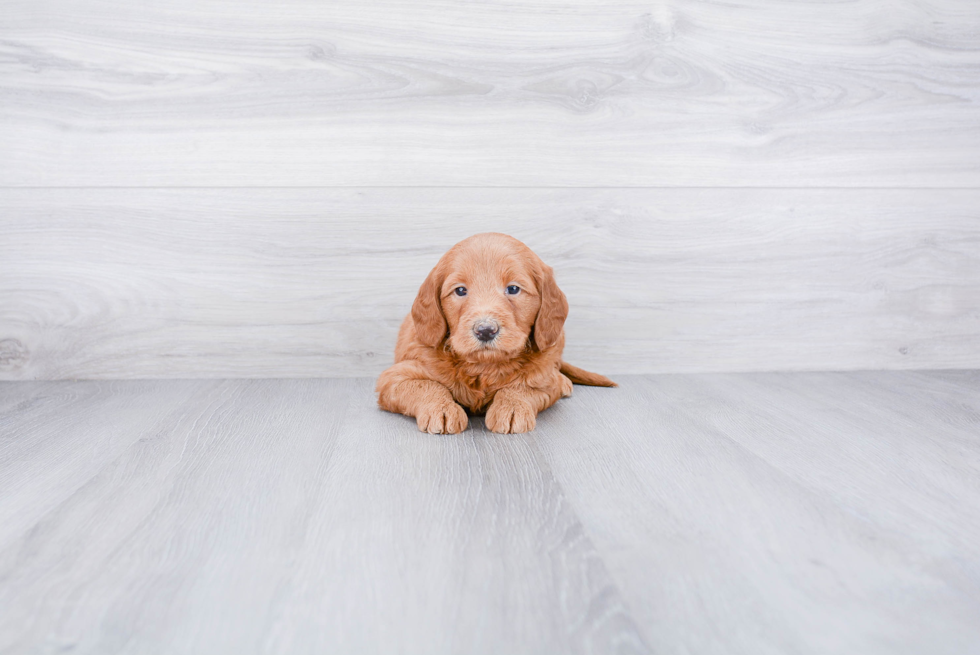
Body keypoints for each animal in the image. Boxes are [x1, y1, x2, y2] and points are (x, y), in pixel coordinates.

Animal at [378, 233, 616, 434]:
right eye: (460, 290)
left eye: (513, 289)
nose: (485, 330)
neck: (484, 367)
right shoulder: (393, 377)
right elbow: (425, 384)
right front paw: (442, 408)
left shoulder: (543, 380)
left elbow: (523, 386)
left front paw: (512, 407)